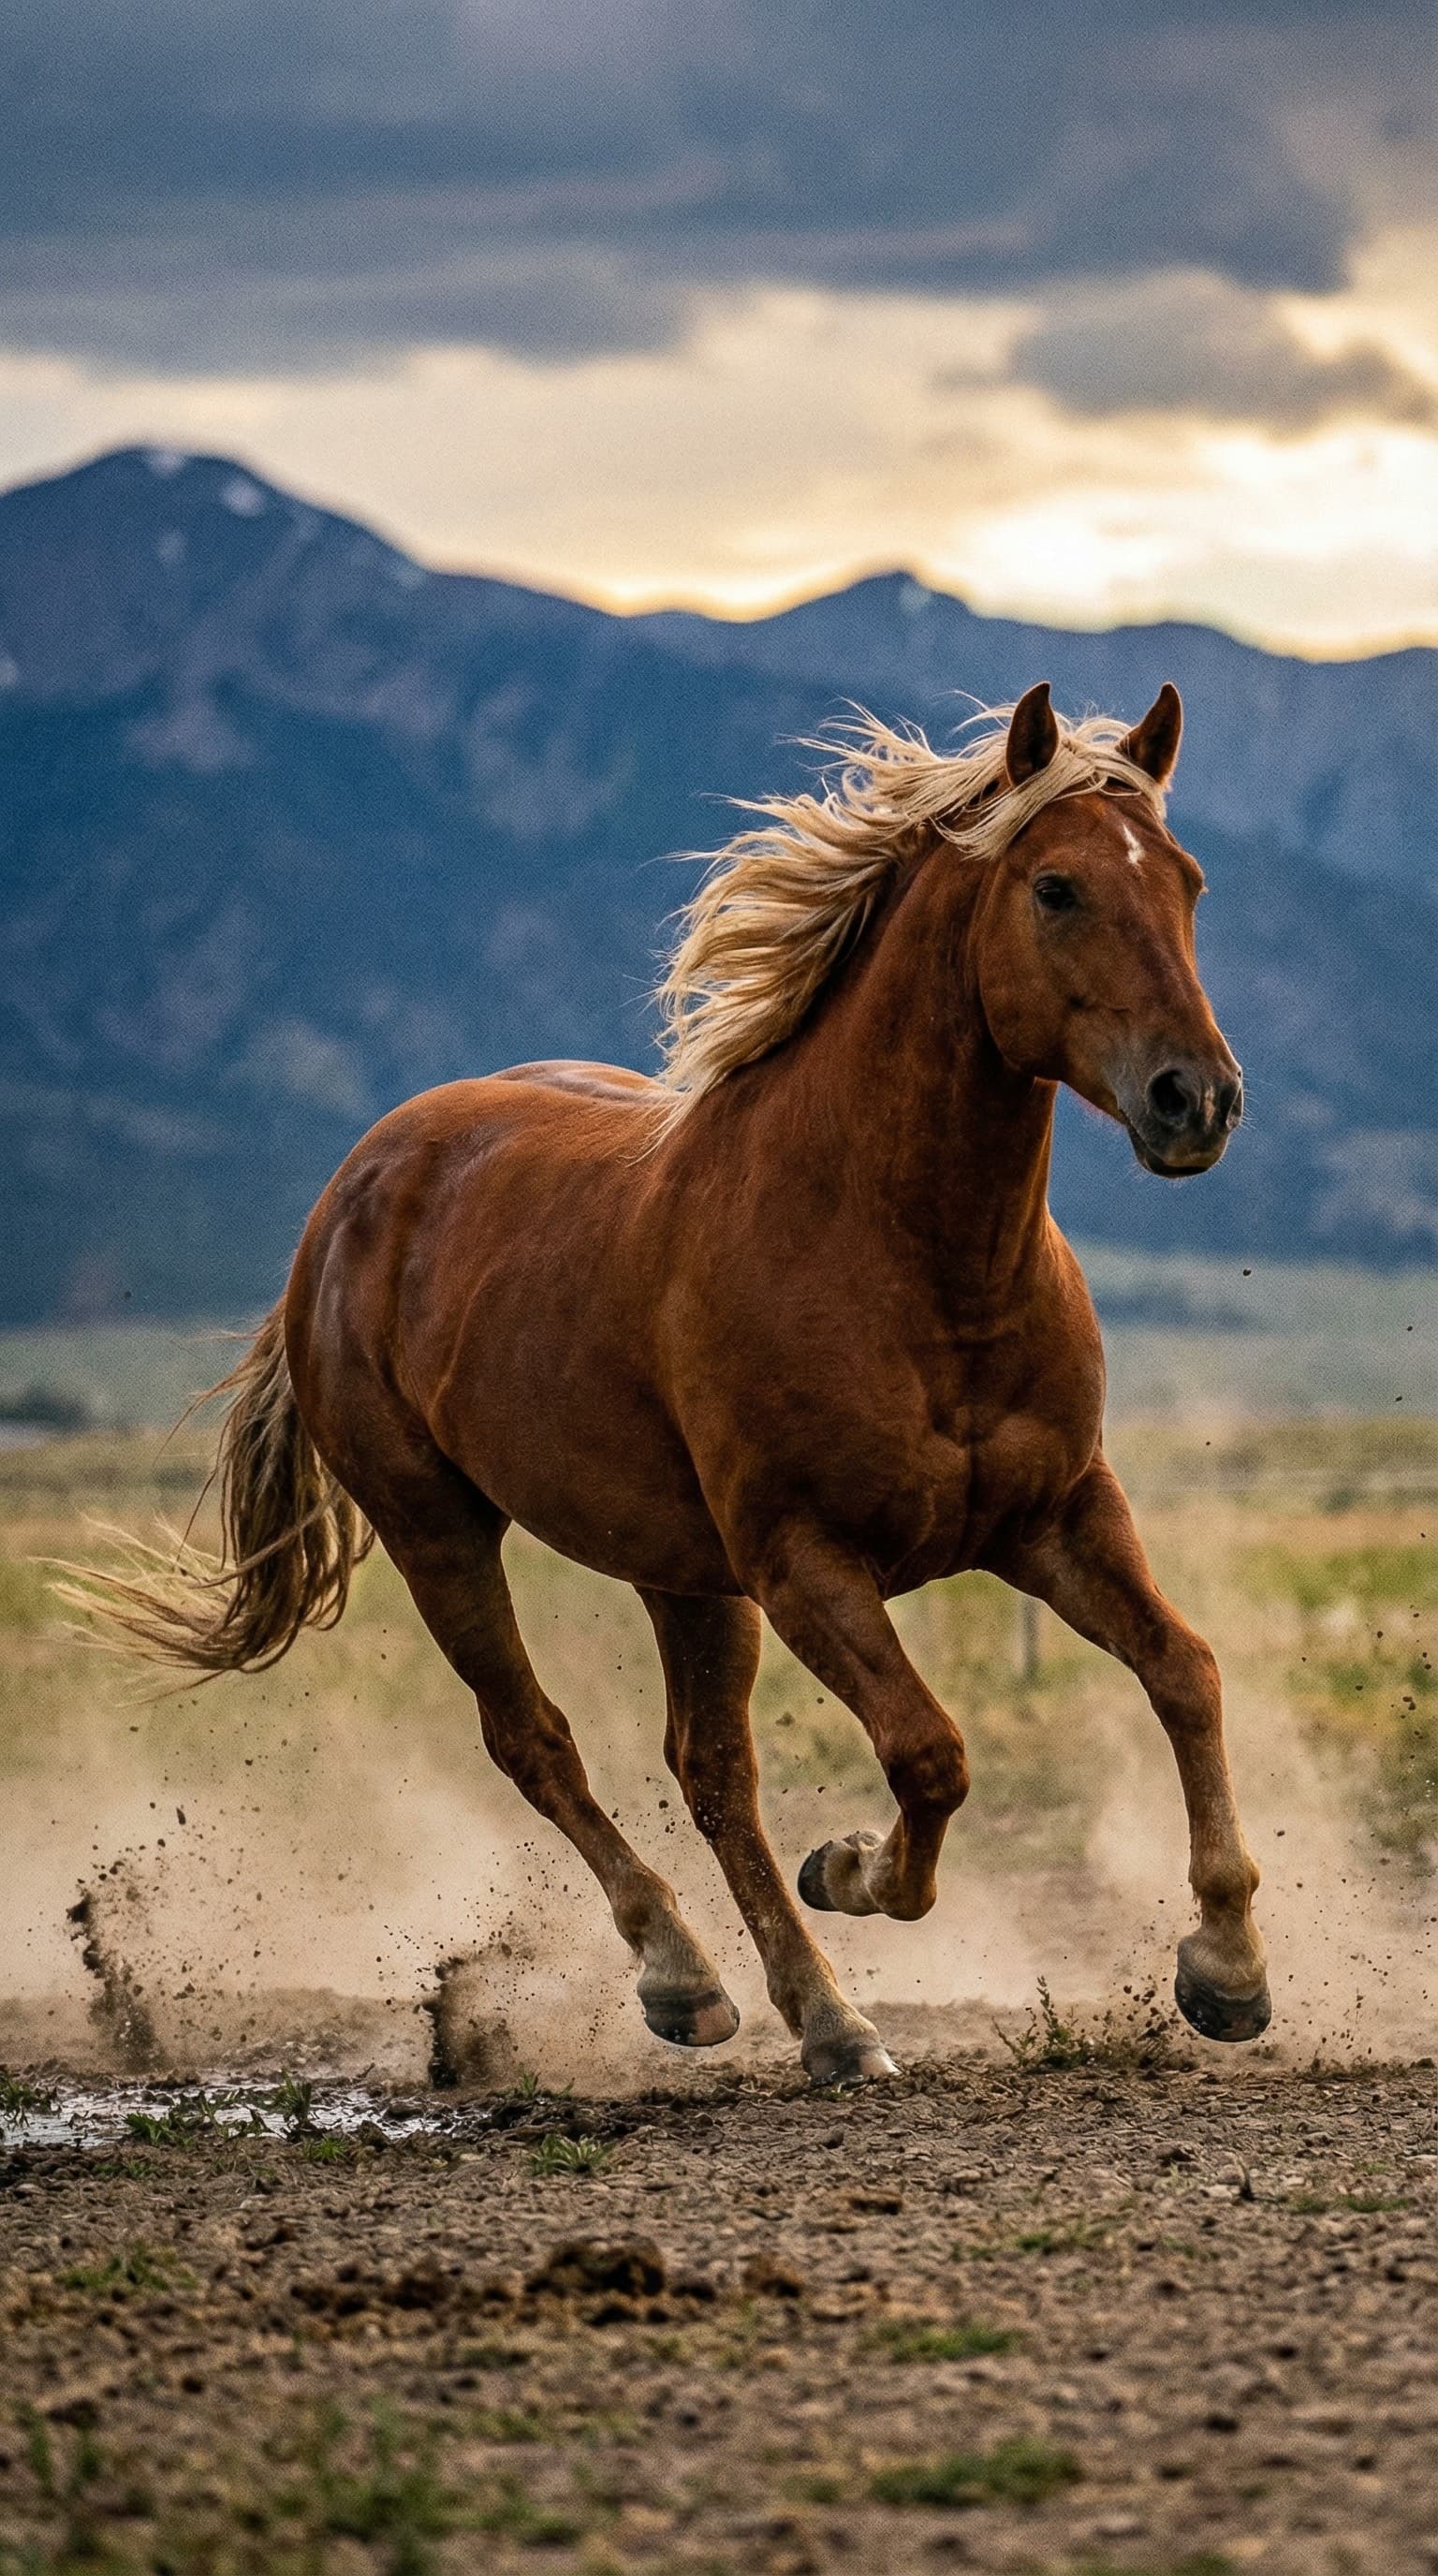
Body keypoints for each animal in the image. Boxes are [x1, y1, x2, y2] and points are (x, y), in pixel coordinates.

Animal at [74, 680, 1270, 2084]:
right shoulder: (805, 1561)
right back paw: (690, 1980)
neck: (911, 1261)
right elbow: (930, 1755)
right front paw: (851, 1867)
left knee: (705, 1772)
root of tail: (352, 1193)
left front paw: (1228, 1969)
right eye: (1058, 887)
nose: (1197, 1100)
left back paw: (824, 2019)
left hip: (678, 1569)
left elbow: (1185, 1672)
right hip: (442, 1535)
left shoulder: (1058, 1516)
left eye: (1187, 882)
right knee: (540, 1743)